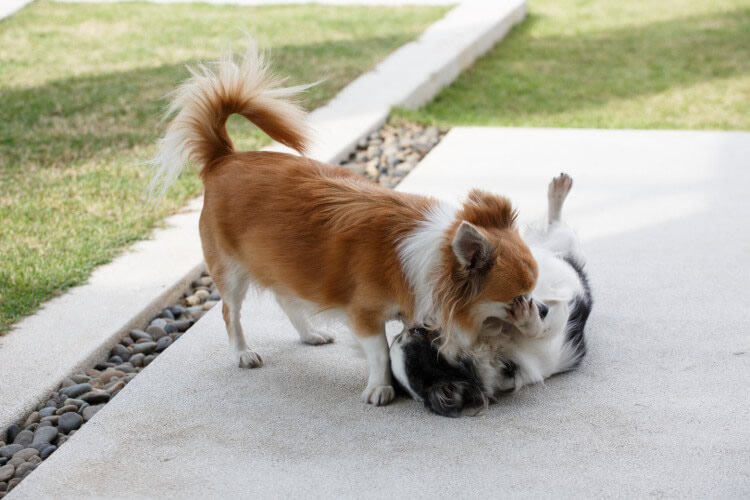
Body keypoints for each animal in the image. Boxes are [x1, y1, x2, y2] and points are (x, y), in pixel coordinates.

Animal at [150, 40, 536, 406]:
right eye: (517, 299)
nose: (541, 308)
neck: (432, 253)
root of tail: (223, 158)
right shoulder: (363, 314)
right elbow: (380, 352)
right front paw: (380, 387)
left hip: (283, 263)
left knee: (286, 298)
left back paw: (309, 333)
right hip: (230, 271)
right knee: (231, 312)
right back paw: (242, 352)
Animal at [394, 174, 592, 416]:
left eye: (417, 330)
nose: (411, 320)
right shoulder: (548, 341)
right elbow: (539, 328)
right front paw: (528, 317)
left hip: (543, 245)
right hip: (559, 242)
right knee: (555, 227)